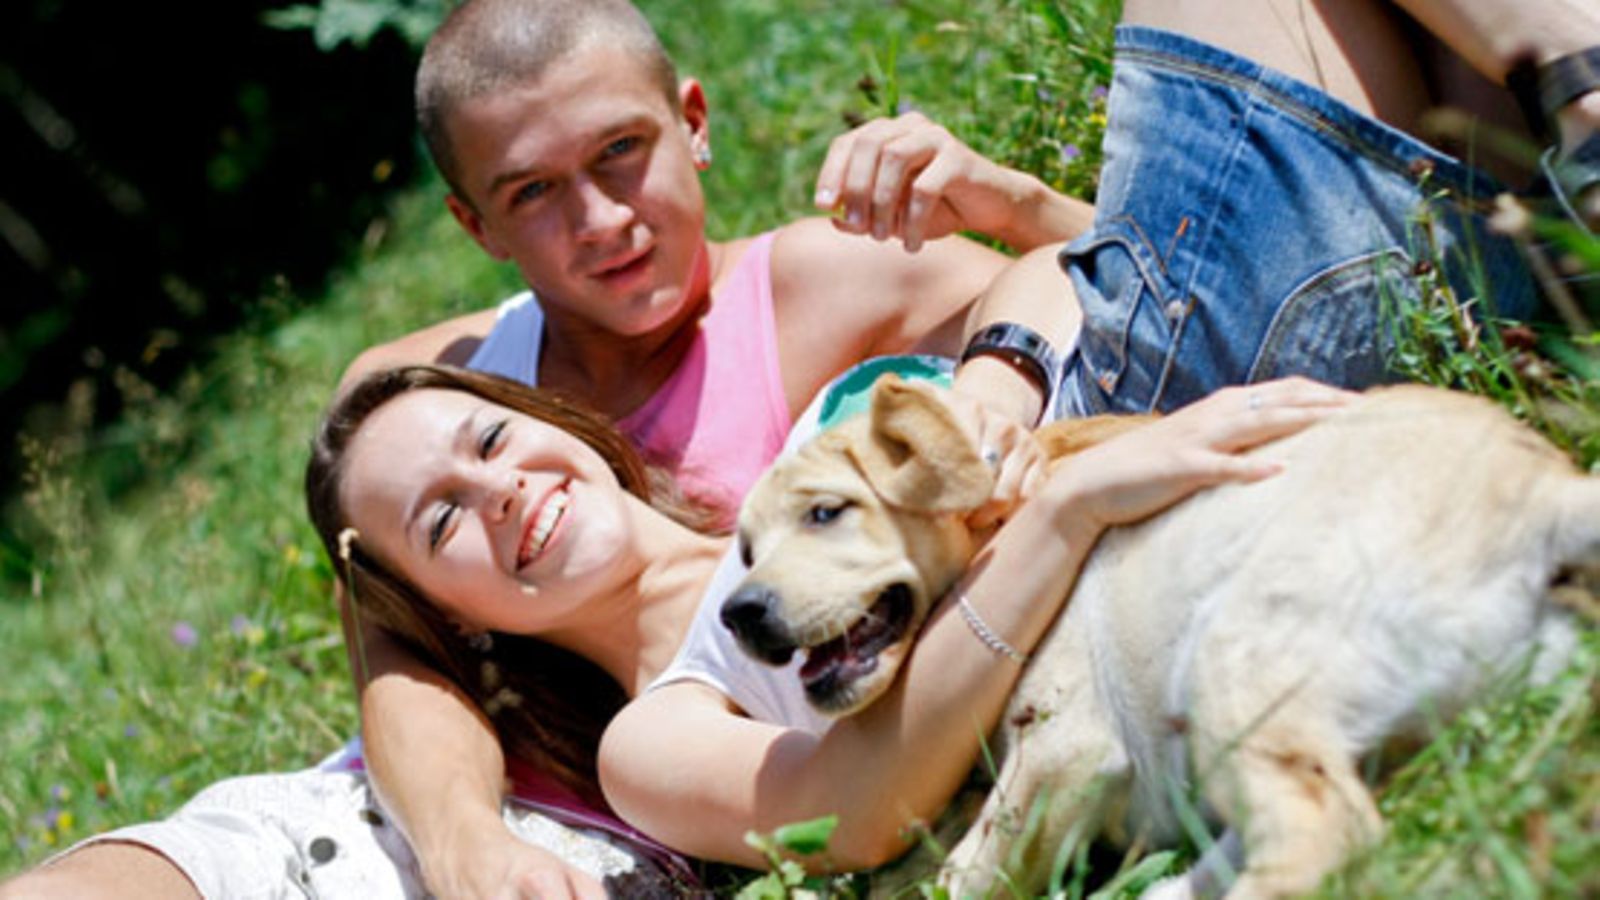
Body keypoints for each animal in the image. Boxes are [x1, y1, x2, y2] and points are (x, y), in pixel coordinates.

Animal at [721, 376, 1599, 898]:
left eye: (826, 512)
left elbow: (963, 878)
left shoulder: (1066, 750)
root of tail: (1550, 496)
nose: (739, 614)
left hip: (1232, 657)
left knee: (1326, 838)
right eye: (747, 551)